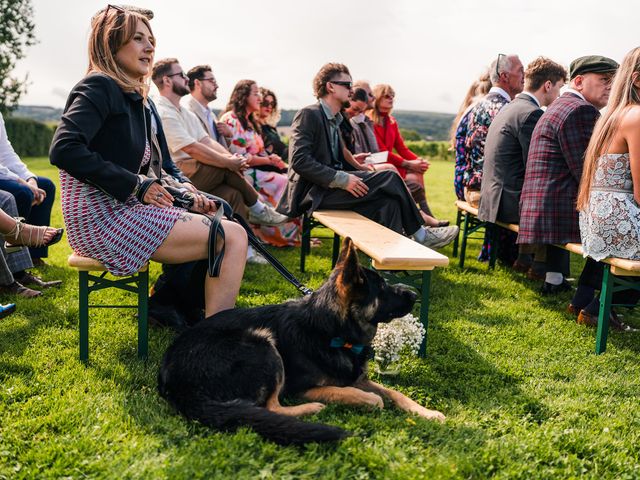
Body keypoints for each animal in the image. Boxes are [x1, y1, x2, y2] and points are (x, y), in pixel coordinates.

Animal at [158, 239, 444, 446]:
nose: (414, 294)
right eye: (382, 288)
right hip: (263, 343)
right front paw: (366, 400)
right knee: (270, 407)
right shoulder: (301, 387)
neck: (331, 332)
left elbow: (396, 393)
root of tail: (177, 385)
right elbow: (359, 395)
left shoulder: (359, 378)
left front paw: (427, 412)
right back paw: (311, 409)